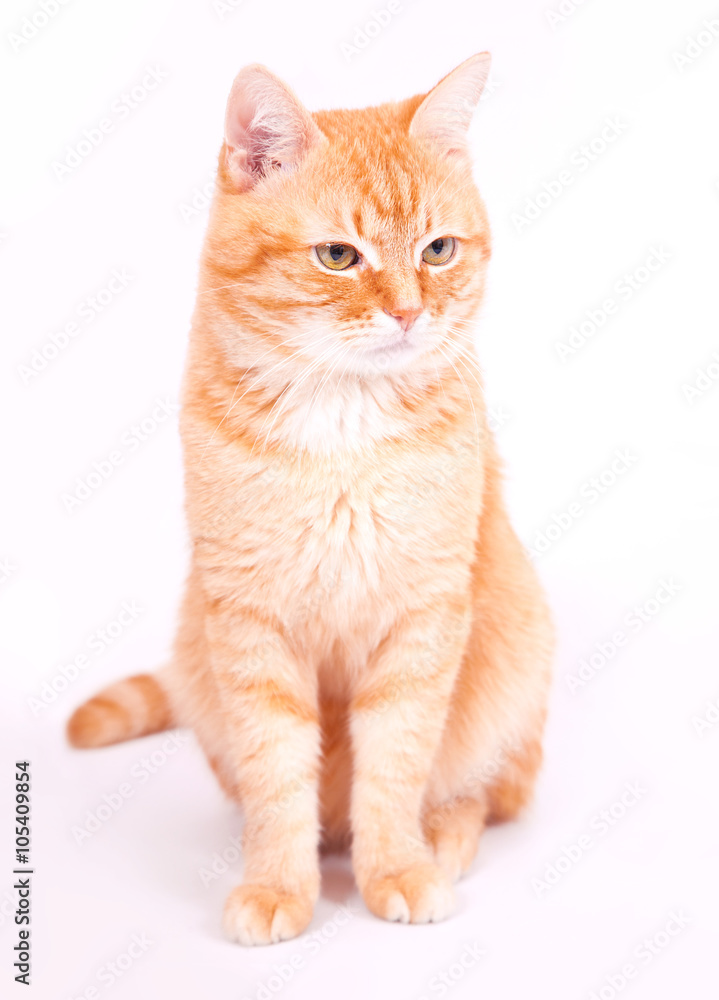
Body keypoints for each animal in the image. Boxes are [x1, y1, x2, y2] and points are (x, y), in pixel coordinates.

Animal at [67, 52, 556, 944]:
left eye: (438, 250)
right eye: (338, 255)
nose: (409, 311)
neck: (341, 423)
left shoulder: (423, 617)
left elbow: (395, 765)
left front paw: (394, 866)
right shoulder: (247, 621)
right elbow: (276, 777)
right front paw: (277, 882)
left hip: (517, 650)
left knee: (487, 790)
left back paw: (443, 840)